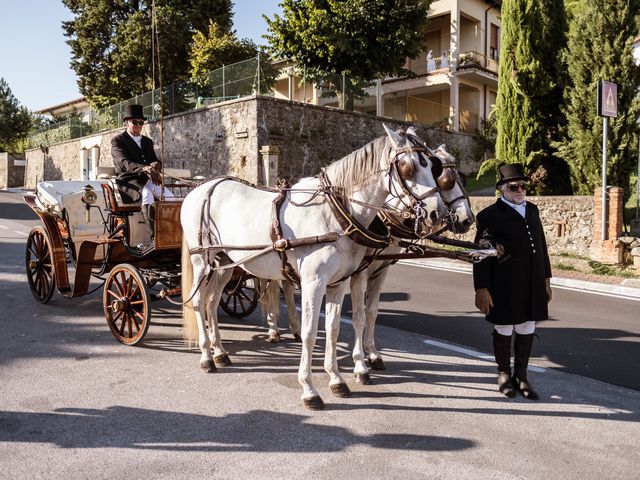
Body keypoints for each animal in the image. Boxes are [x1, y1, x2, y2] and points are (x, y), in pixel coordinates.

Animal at [181, 124, 444, 408]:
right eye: (408, 167)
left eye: (433, 166)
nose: (437, 214)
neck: (335, 213)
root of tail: (201, 188)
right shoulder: (313, 282)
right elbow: (309, 332)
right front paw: (309, 388)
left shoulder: (339, 282)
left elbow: (333, 328)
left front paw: (336, 379)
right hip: (202, 261)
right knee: (198, 302)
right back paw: (206, 357)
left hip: (225, 263)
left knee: (211, 303)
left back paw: (219, 352)